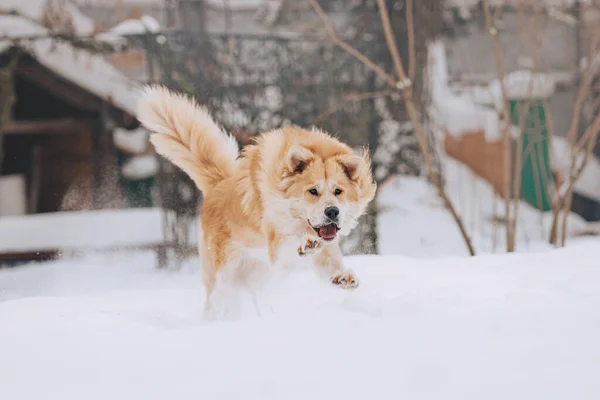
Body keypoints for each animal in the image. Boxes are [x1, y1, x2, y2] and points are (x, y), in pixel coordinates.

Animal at [138, 86, 378, 314]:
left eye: (338, 191)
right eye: (312, 191)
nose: (332, 212)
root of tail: (218, 185)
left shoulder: (325, 243)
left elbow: (329, 259)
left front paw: (342, 276)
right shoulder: (276, 245)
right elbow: (292, 243)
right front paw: (305, 243)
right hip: (223, 277)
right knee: (215, 301)